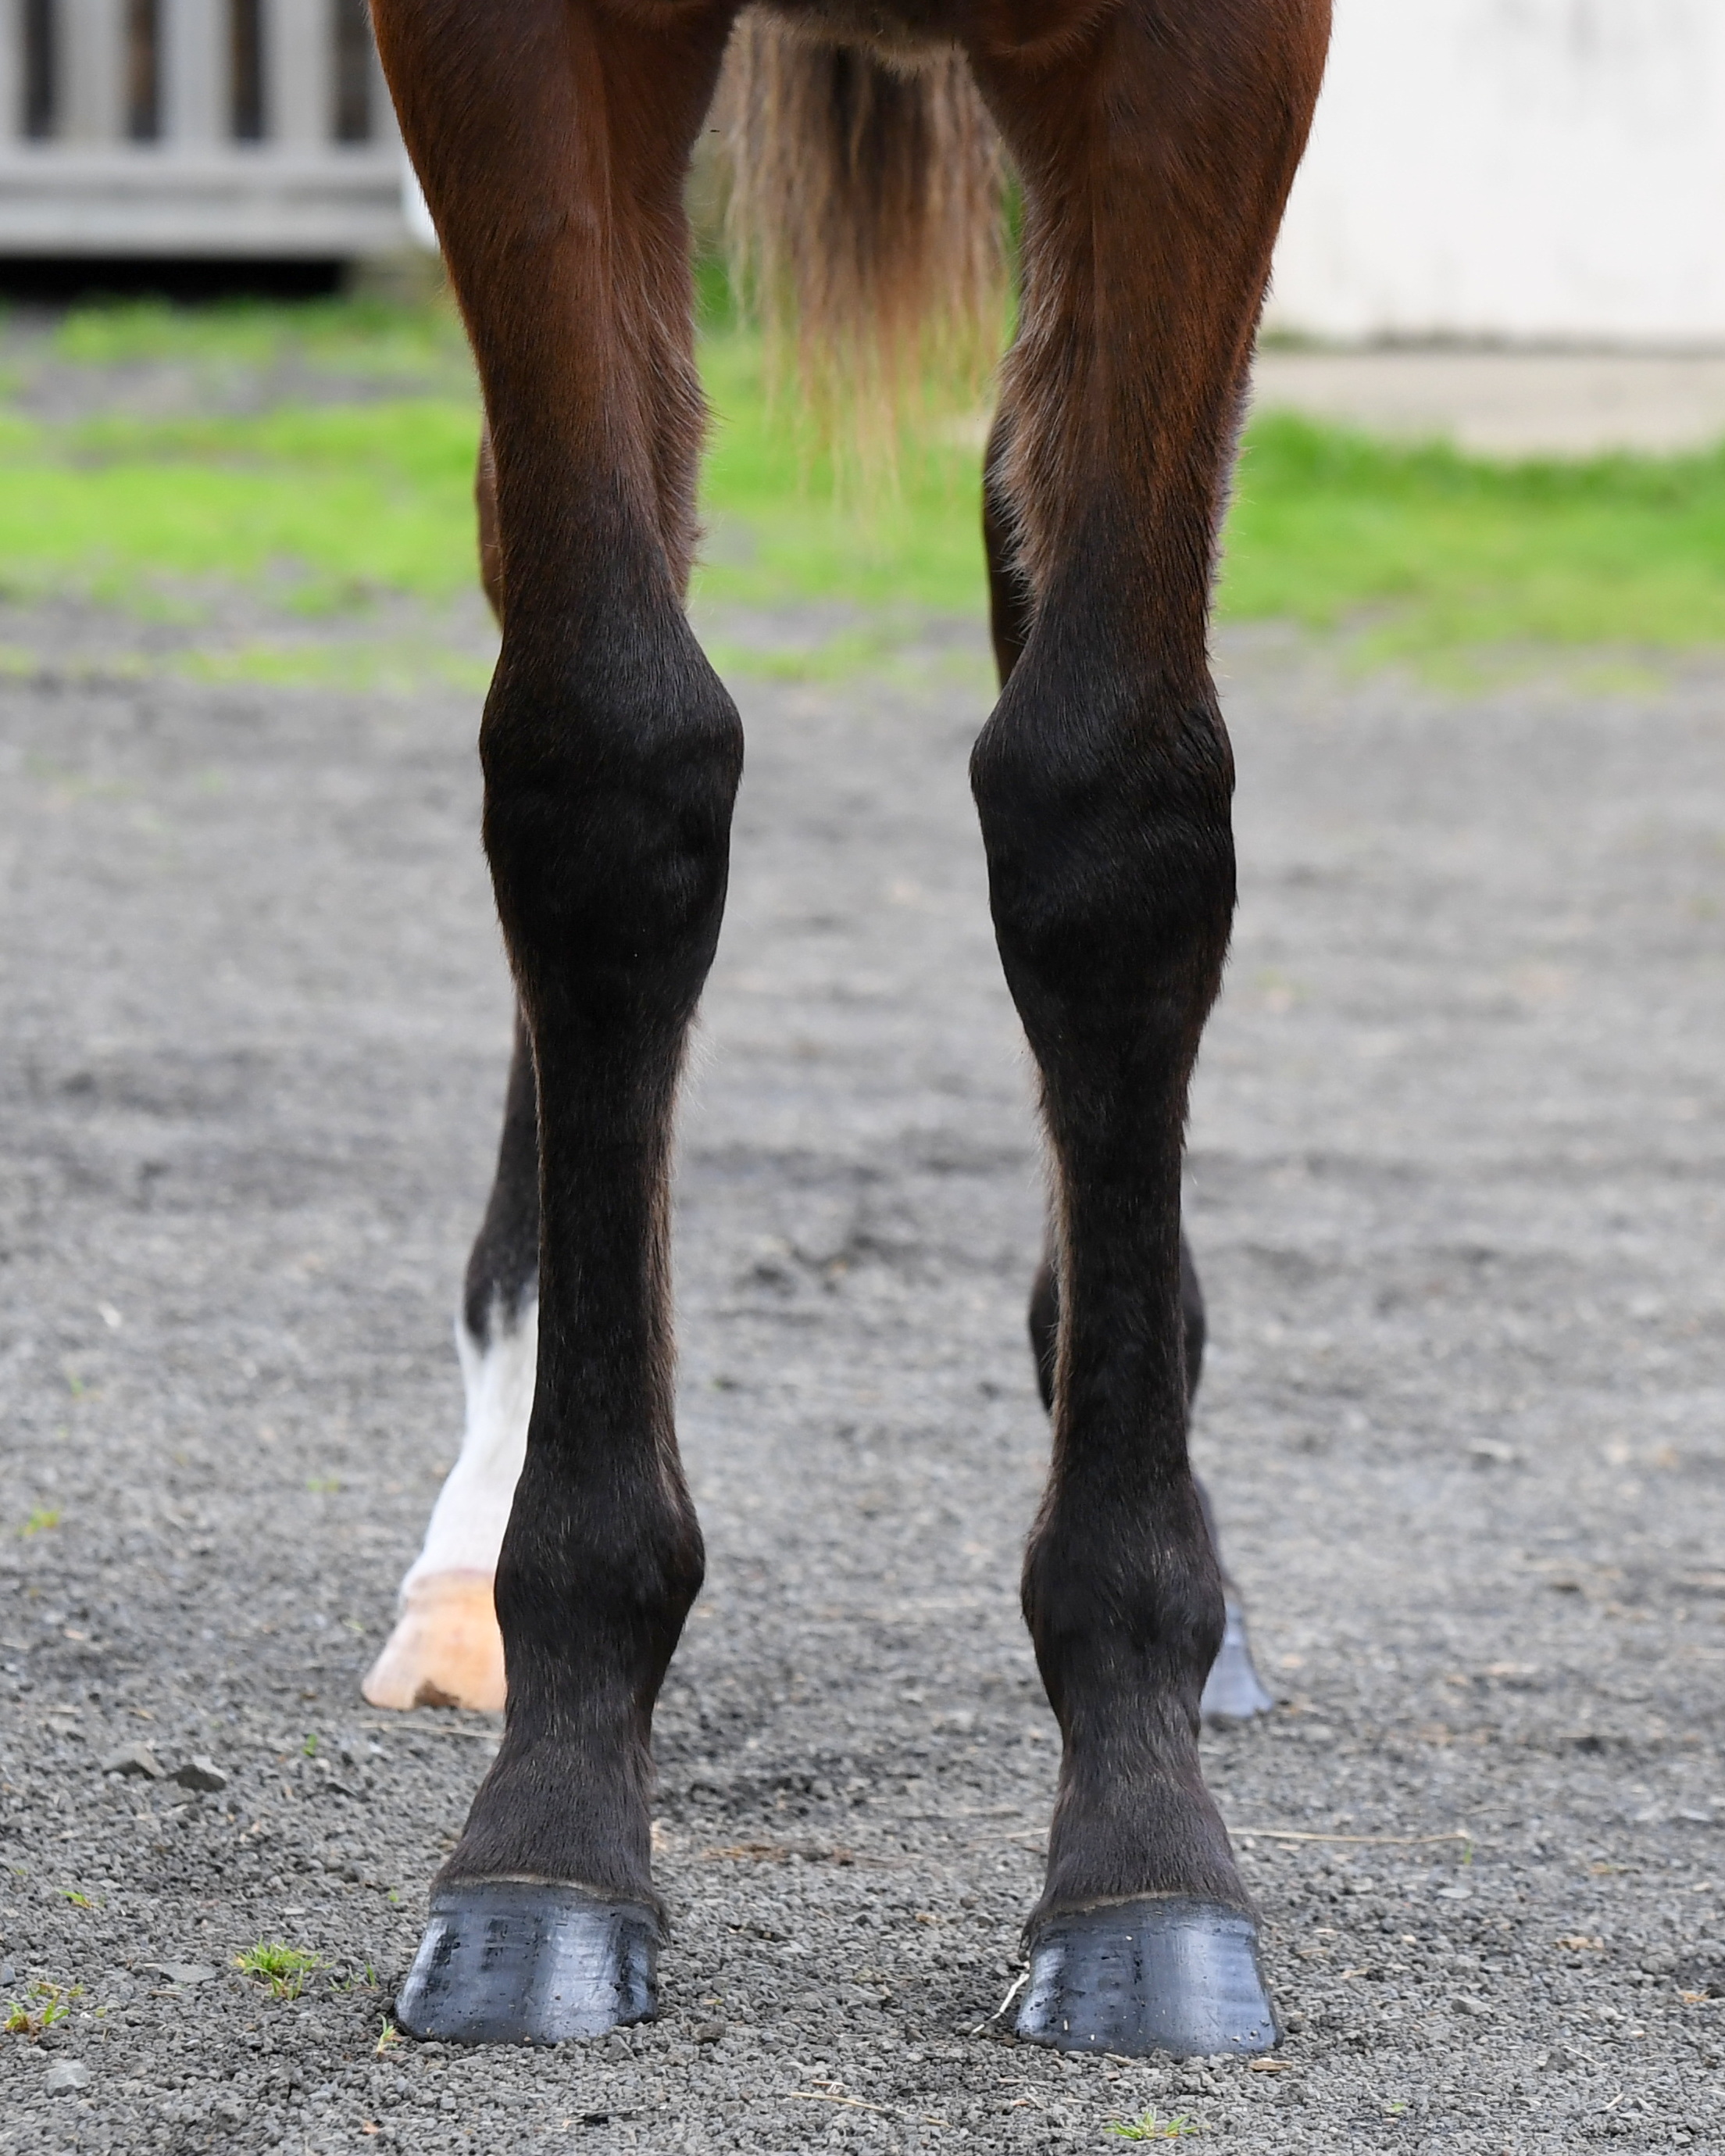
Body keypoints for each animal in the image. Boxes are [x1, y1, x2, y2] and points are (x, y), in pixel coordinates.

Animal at [361, 0, 1330, 2058]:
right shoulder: (506, 47)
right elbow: (603, 764)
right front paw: (550, 1825)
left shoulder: (1218, 59)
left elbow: (1111, 809)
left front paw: (1143, 1838)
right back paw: (476, 1537)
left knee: (1026, 523)